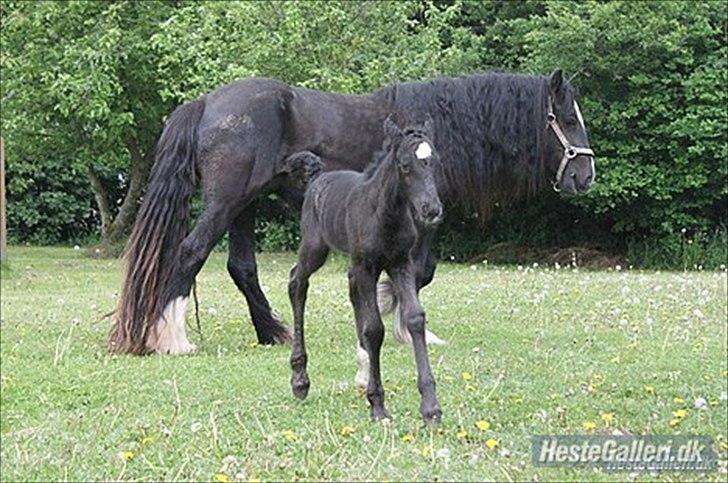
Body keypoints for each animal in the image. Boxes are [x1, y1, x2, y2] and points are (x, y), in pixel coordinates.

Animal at [288, 116, 444, 424]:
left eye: (434, 161)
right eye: (404, 165)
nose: (431, 209)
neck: (385, 214)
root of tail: (317, 177)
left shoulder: (400, 264)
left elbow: (414, 318)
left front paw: (430, 408)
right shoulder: (367, 266)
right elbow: (374, 329)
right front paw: (378, 406)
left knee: (349, 290)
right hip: (315, 247)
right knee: (297, 282)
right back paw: (300, 378)